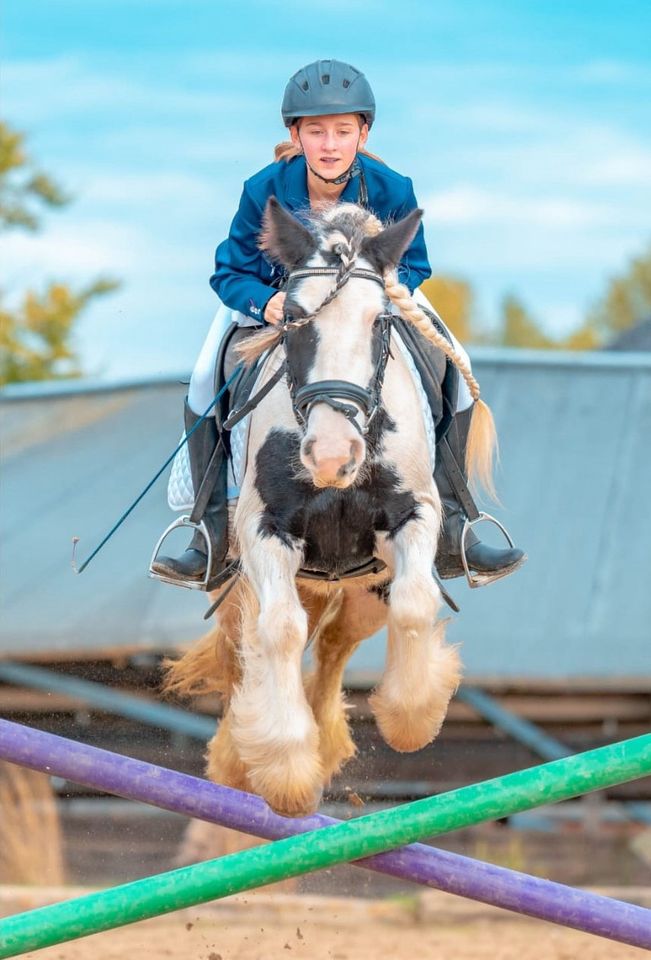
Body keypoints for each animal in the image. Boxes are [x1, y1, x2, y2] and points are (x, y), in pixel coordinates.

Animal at [166, 197, 496, 816]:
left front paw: (410, 719)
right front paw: (286, 773)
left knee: (338, 642)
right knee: (262, 642)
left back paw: (325, 741)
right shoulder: (265, 530)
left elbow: (415, 604)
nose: (331, 456)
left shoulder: (413, 517)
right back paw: (245, 757)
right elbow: (277, 631)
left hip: (362, 587)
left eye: (381, 322)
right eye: (293, 320)